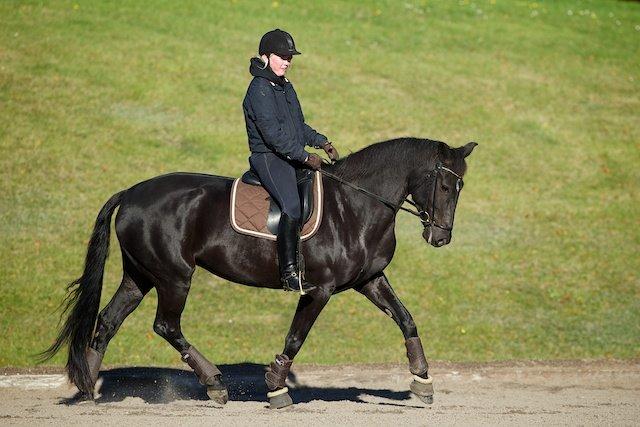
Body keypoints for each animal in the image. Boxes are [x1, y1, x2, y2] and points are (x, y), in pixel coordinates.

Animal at [41, 137, 476, 408]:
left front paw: (423, 380)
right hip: (174, 276)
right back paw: (215, 385)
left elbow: (406, 319)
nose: (440, 237)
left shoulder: (369, 281)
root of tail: (131, 192)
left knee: (108, 321)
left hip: (141, 275)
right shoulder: (318, 290)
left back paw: (87, 388)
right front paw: (276, 388)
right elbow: (296, 337)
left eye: (460, 187)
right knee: (165, 325)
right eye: (443, 185)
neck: (355, 206)